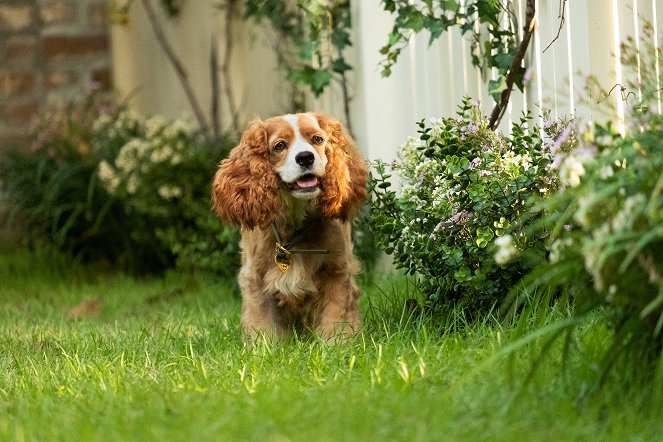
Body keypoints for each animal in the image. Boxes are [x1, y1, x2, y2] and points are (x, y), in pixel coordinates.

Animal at [211, 111, 368, 346]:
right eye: (279, 146)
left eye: (317, 139)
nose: (305, 157)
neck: (295, 222)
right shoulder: (256, 278)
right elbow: (262, 322)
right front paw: (266, 347)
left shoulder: (336, 272)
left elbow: (335, 316)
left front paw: (337, 344)